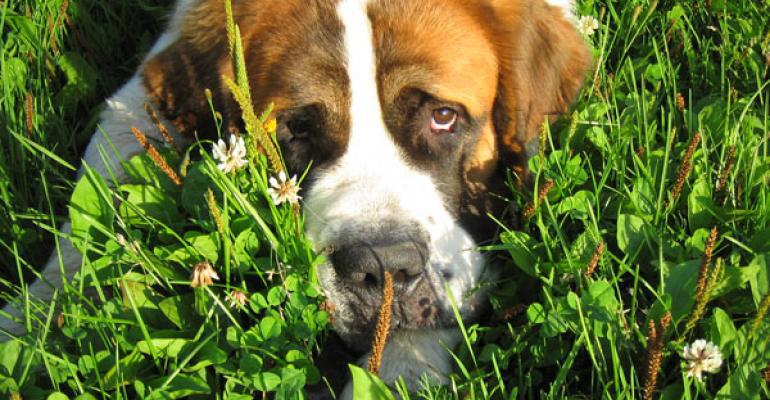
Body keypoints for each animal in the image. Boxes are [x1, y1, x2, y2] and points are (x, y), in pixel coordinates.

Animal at [0, 0, 592, 396]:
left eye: (443, 117)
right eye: (297, 129)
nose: (383, 266)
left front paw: (400, 368)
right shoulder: (142, 93)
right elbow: (87, 216)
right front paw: (27, 327)